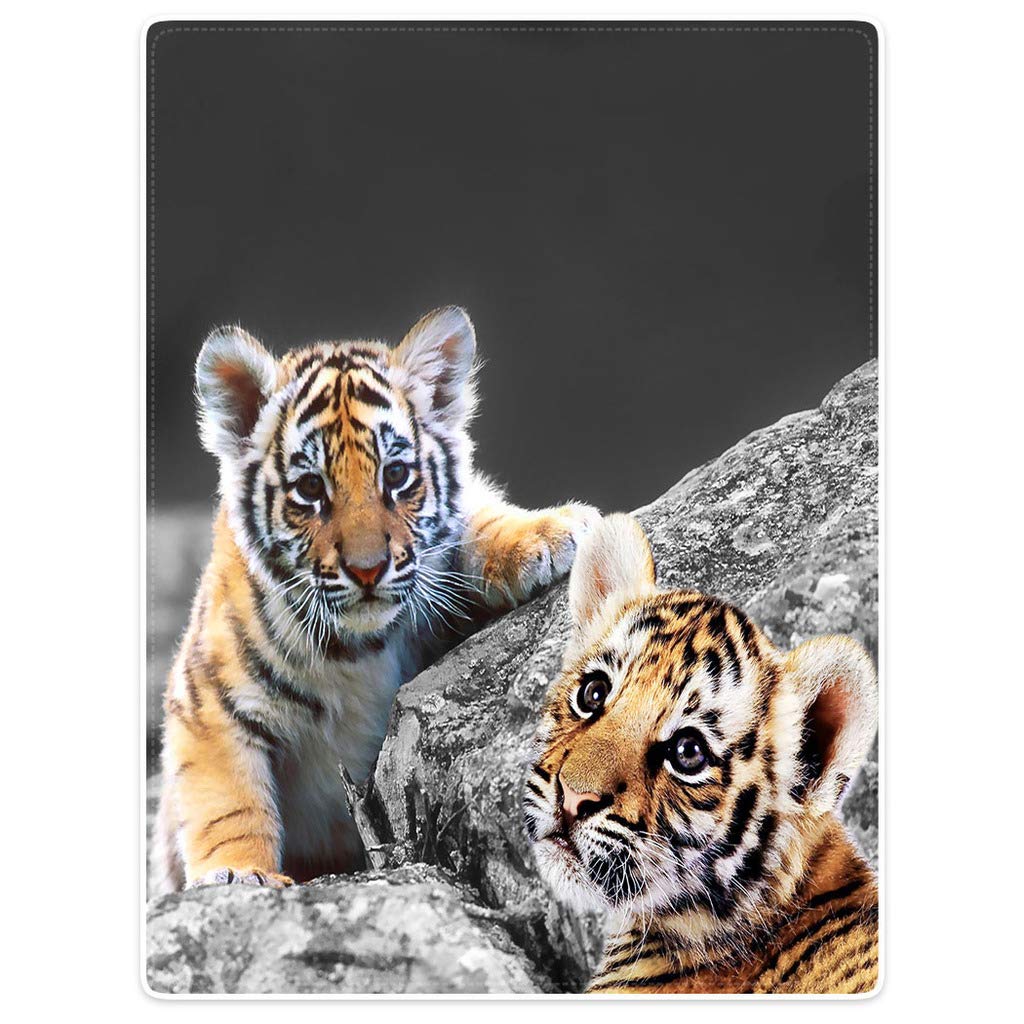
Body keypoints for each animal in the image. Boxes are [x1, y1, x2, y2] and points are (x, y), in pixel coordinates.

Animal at [153, 306, 598, 893]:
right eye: (310, 489)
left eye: (397, 474)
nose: (367, 569)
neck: (355, 650)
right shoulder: (207, 701)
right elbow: (228, 803)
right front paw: (240, 875)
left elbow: (473, 519)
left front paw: (548, 534)